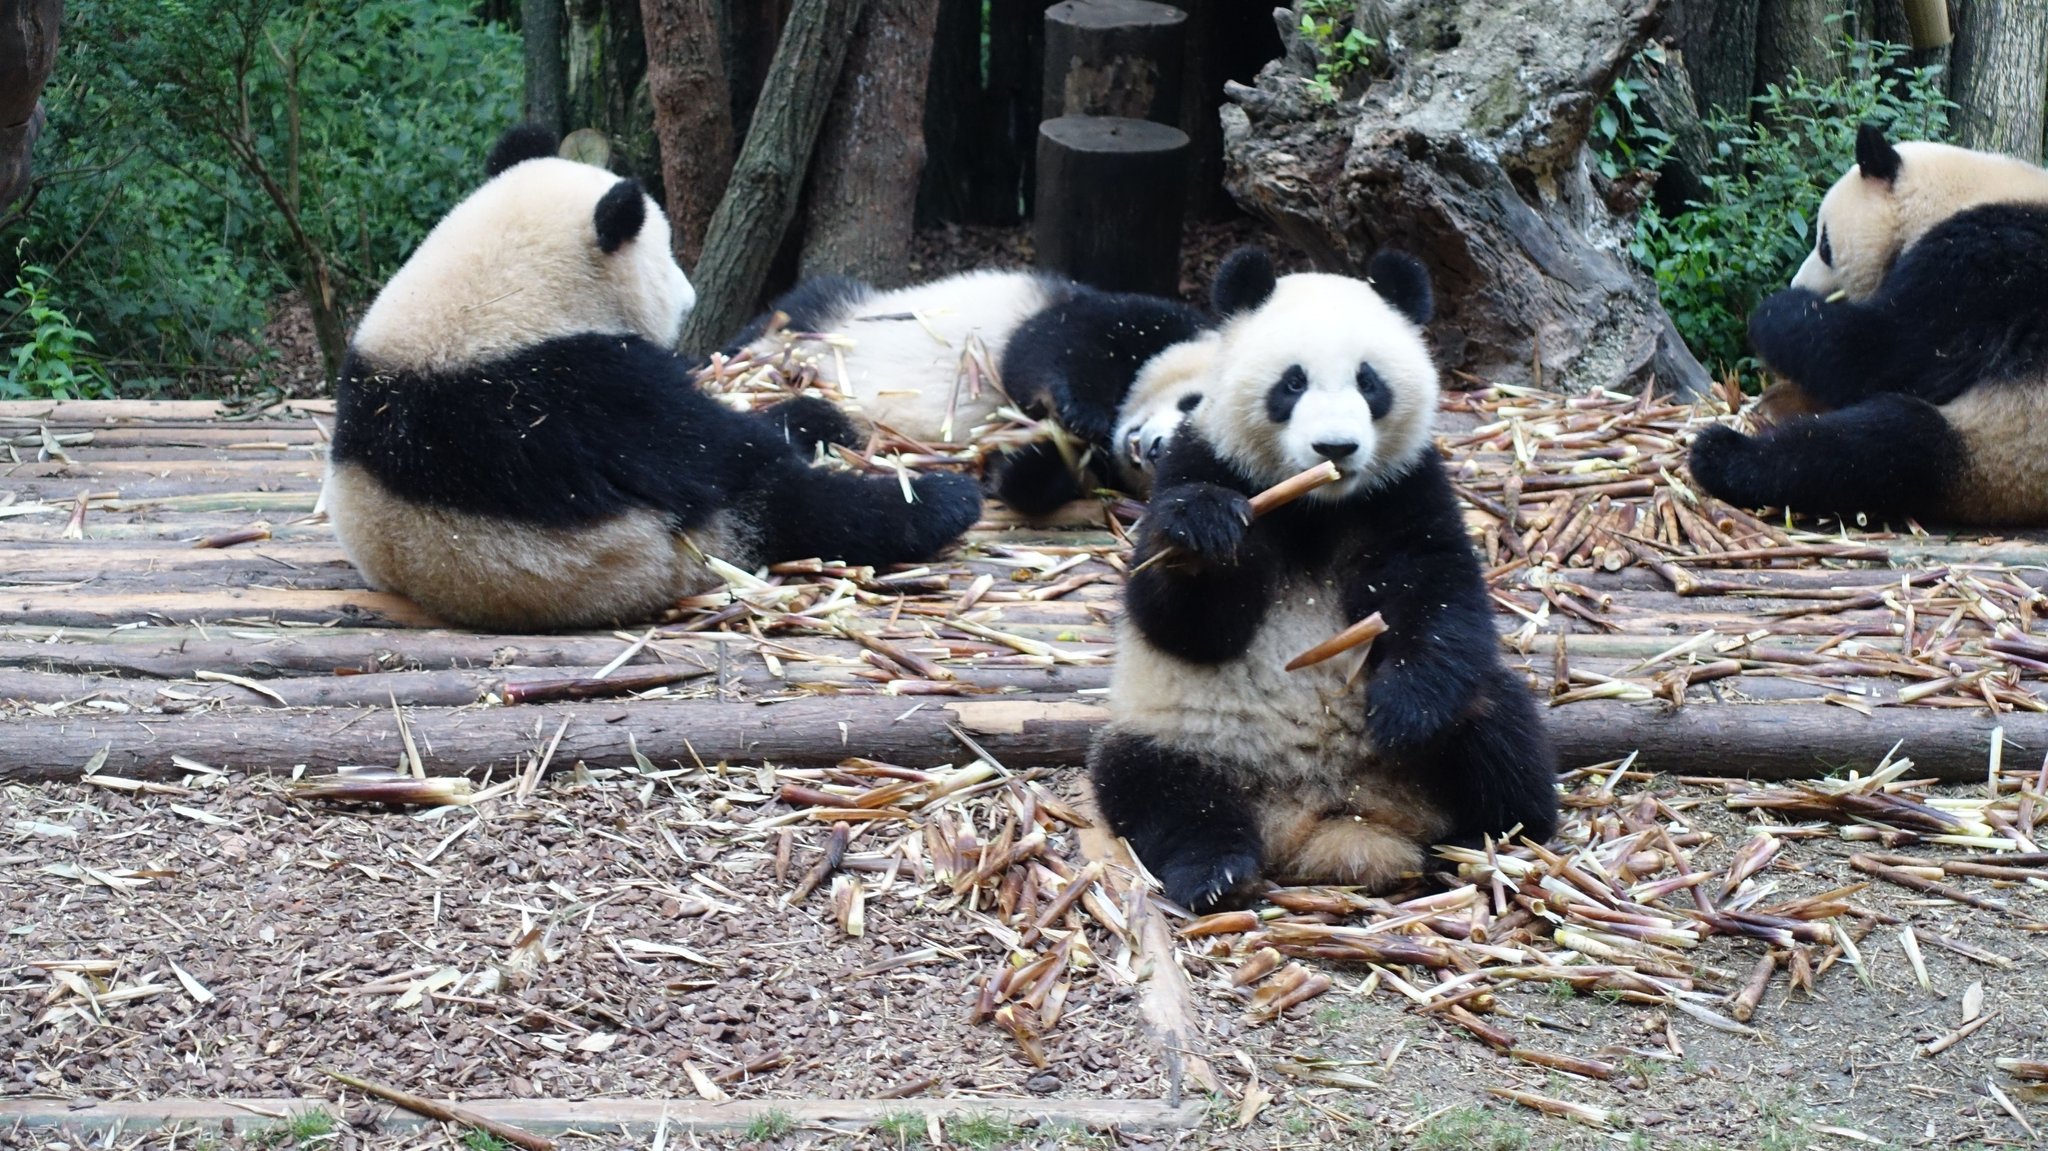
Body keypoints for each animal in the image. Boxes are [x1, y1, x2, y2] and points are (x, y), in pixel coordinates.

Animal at [321, 129, 983, 630]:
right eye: (665, 255)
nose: (689, 298)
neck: (493, 291)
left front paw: (812, 412)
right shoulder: (580, 393)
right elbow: (709, 448)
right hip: (686, 541)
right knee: (800, 504)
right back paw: (943, 501)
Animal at [720, 268, 1204, 509]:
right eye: (1192, 402)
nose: (1155, 448)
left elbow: (1029, 481)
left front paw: (1028, 457)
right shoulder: (1149, 323)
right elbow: (1050, 341)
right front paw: (1079, 412)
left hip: (853, 425)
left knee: (808, 422)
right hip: (831, 316)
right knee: (796, 307)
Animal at [1089, 246, 1548, 909]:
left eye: (1369, 381)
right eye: (1292, 382)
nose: (1336, 446)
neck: (1317, 506)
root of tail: (1329, 817)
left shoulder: (1406, 488)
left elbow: (1439, 593)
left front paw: (1405, 710)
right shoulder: (1201, 461)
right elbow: (1180, 623)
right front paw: (1206, 533)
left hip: (1458, 734)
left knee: (1499, 725)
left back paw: (1487, 841)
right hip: (1181, 732)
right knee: (1154, 788)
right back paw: (1216, 871)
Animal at [1687, 121, 2048, 524]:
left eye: (1825, 244)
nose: (1797, 283)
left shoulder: (1987, 268)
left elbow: (1882, 354)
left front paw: (1775, 311)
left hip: (2002, 446)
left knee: (1874, 447)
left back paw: (1721, 453)